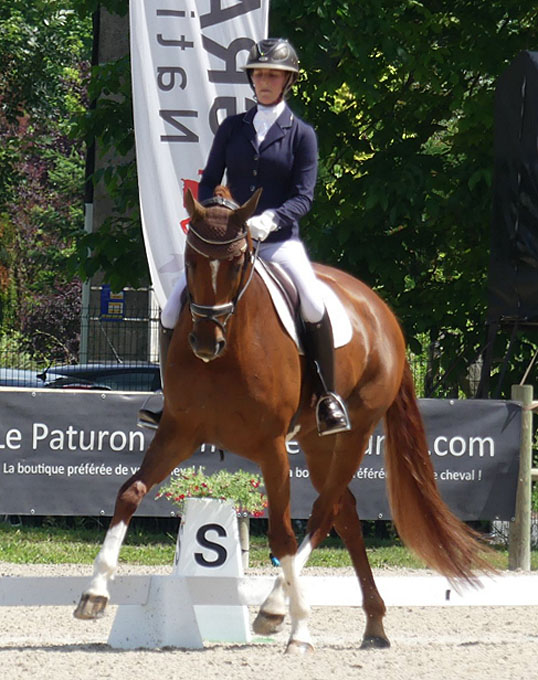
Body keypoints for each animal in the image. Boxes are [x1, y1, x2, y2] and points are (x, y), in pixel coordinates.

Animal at [74, 188, 491, 653]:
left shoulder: (271, 447)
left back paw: (278, 608)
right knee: (344, 510)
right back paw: (373, 624)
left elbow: (282, 534)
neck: (228, 351)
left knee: (325, 512)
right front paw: (94, 593)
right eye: (191, 260)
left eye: (238, 262)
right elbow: (130, 492)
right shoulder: (179, 432)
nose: (205, 342)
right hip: (314, 440)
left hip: (357, 430)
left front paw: (298, 628)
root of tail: (381, 310)